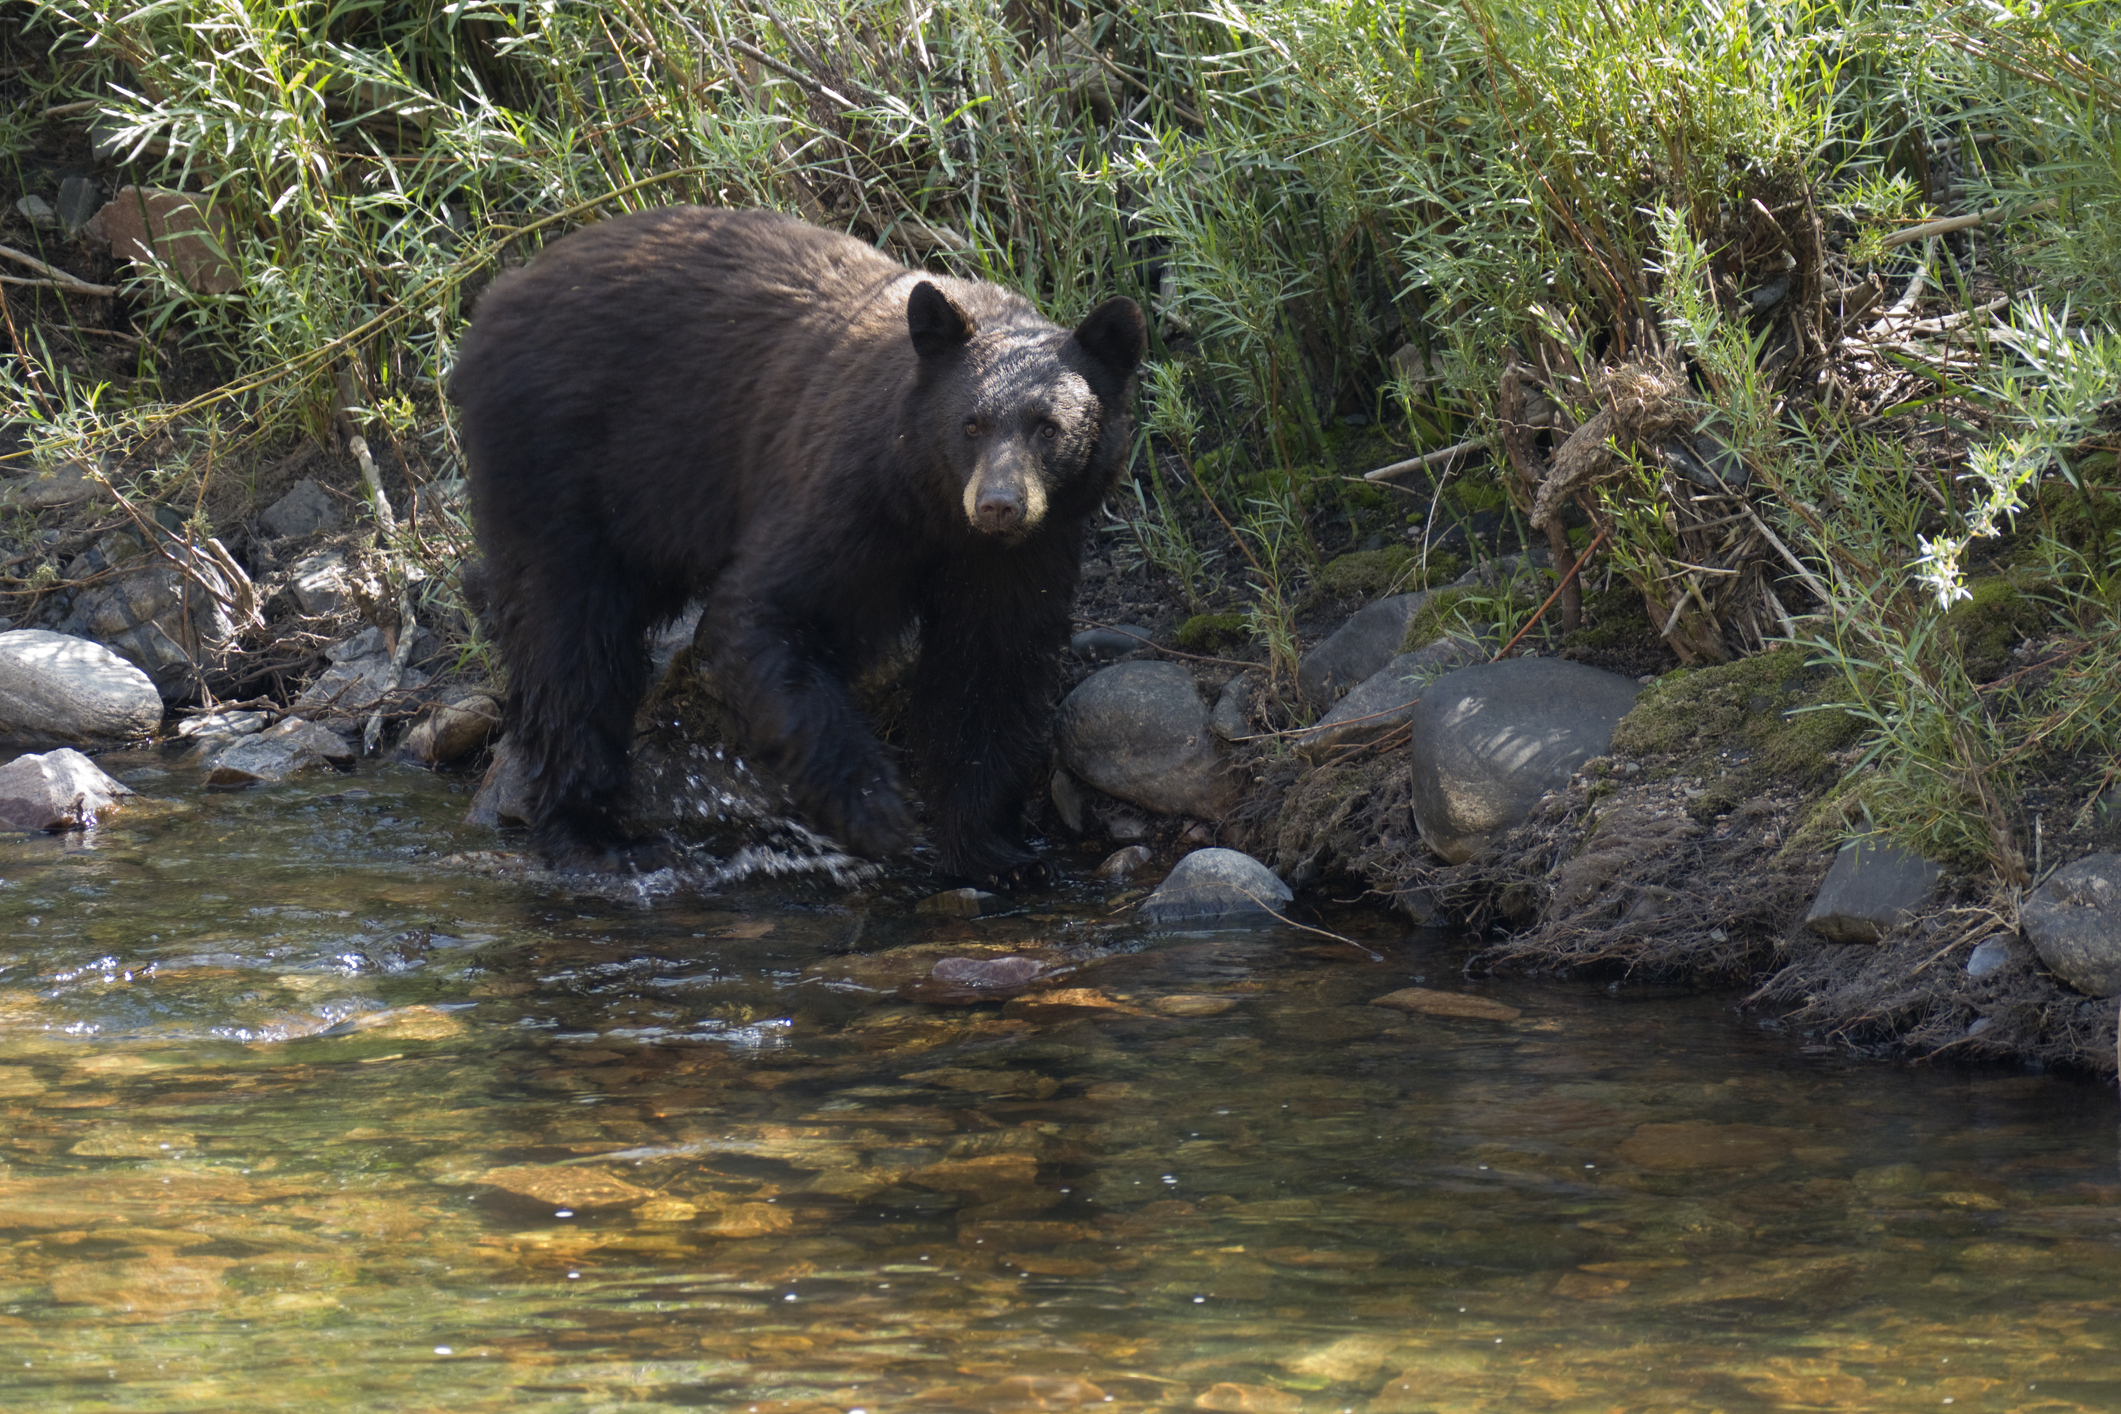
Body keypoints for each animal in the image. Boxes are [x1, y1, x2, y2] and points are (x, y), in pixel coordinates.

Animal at [449, 207, 1145, 886]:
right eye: (970, 424)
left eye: (1048, 428)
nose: (1000, 504)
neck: (934, 510)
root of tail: (495, 297)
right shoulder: (844, 493)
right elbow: (766, 614)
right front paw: (874, 811)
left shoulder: (1019, 554)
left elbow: (990, 666)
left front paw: (992, 850)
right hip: (558, 460)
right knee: (569, 642)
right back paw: (596, 837)